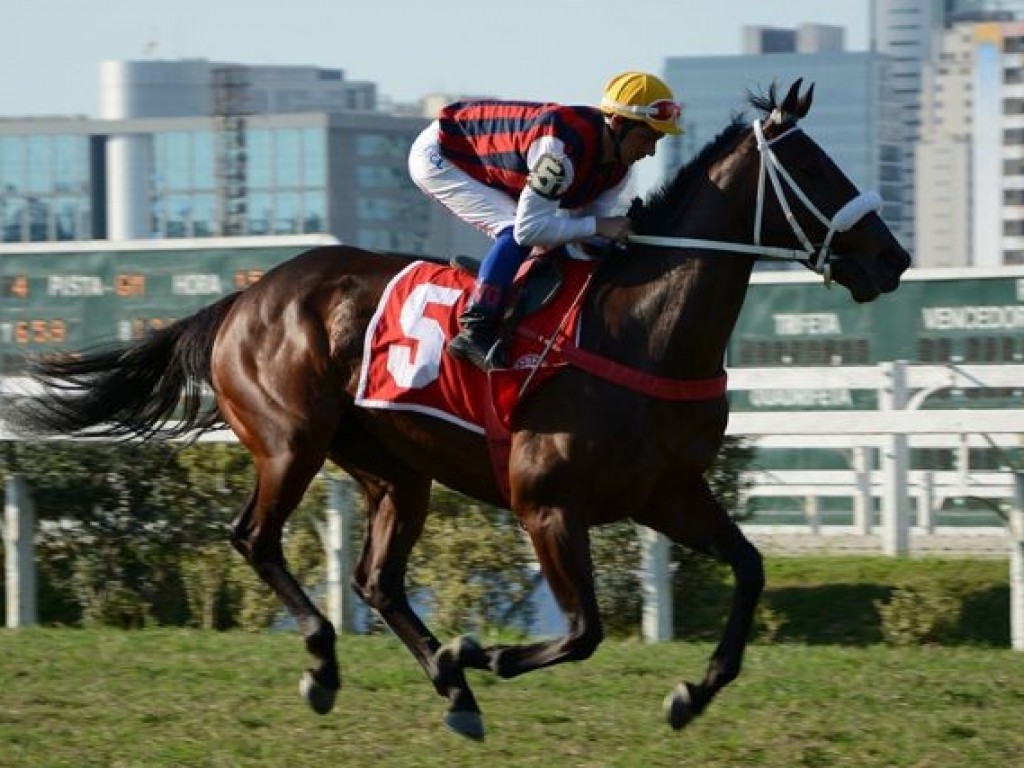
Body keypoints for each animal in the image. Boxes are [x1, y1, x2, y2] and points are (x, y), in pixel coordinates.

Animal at [12, 82, 913, 741]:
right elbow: (584, 630)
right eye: (815, 169)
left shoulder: (669, 493)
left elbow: (750, 569)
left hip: (393, 467)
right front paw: (485, 651)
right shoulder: (546, 504)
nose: (894, 259)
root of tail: (244, 296)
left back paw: (452, 693)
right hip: (289, 440)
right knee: (256, 539)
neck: (642, 328)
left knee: (376, 580)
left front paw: (692, 692)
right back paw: (330, 664)